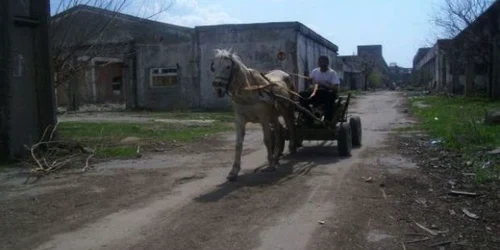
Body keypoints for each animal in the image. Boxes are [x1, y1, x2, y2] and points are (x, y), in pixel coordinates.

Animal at [210, 48, 296, 182]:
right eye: (214, 67)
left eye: (228, 67)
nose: (218, 89)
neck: (250, 91)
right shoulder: (240, 119)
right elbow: (238, 144)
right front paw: (234, 171)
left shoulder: (264, 118)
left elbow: (267, 140)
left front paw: (270, 165)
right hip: (274, 115)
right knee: (278, 130)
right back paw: (276, 156)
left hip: (287, 110)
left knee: (290, 125)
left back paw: (290, 147)